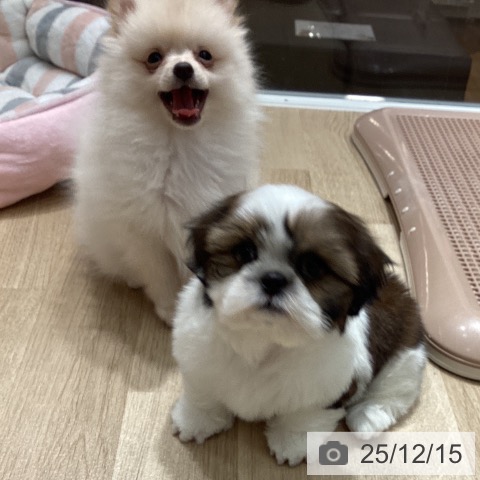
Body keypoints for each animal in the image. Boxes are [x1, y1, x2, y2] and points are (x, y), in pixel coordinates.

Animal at [73, 0, 260, 323]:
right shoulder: (145, 231)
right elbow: (158, 273)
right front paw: (170, 309)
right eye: (154, 58)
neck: (178, 142)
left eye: (205, 55)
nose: (183, 68)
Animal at [171, 184, 426, 466]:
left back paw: (369, 415)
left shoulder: (326, 391)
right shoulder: (197, 358)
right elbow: (202, 392)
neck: (265, 339)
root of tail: (400, 291)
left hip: (406, 356)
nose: (273, 279)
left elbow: (304, 418)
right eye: (244, 252)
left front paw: (291, 443)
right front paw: (197, 420)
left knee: (395, 388)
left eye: (312, 267)